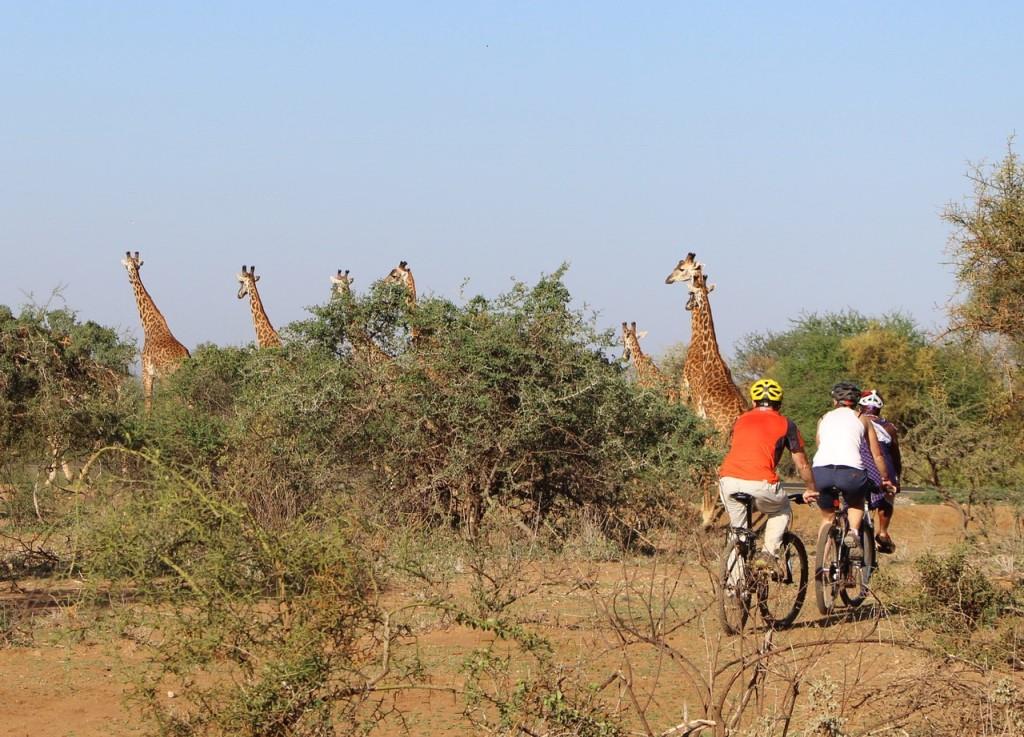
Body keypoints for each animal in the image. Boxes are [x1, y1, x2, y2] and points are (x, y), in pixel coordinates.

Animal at [122, 251, 190, 411]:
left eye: (128, 266)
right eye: (135, 265)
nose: (129, 279)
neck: (148, 326)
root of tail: (186, 359)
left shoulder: (146, 373)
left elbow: (148, 404)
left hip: (169, 378)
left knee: (175, 403)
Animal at [665, 252, 749, 526]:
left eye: (681, 268)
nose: (667, 279)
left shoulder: (689, 395)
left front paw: (704, 510)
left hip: (720, 433)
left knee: (716, 464)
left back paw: (710, 513)